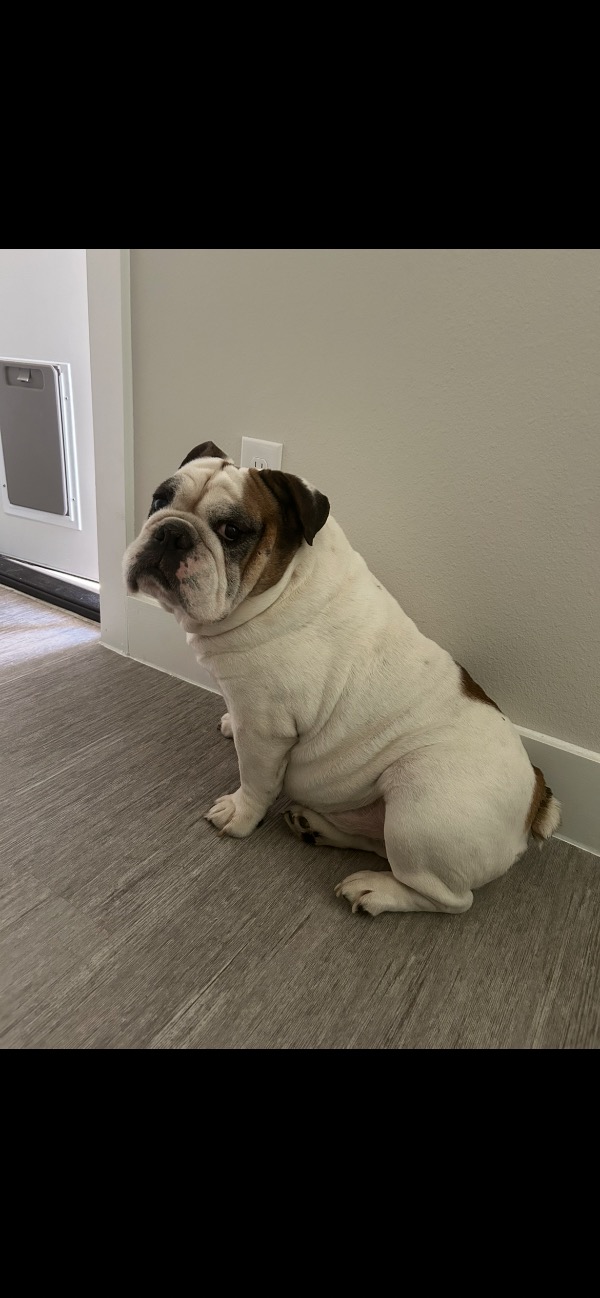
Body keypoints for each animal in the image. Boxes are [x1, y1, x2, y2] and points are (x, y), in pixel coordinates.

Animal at [123, 440, 561, 917]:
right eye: (159, 500)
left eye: (232, 531)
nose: (172, 532)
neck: (281, 585)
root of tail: (537, 793)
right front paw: (226, 724)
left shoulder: (265, 730)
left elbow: (255, 780)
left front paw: (239, 814)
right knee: (375, 841)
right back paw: (316, 827)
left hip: (418, 803)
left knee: (445, 896)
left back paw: (374, 890)